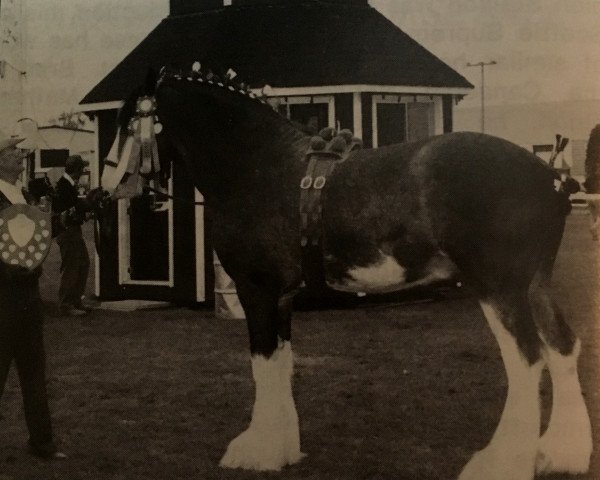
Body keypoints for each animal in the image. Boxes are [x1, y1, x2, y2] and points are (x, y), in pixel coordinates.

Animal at [102, 68, 592, 480]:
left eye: (129, 123)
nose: (106, 187)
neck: (259, 166)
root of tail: (550, 177)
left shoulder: (256, 291)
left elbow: (263, 364)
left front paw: (256, 450)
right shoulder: (282, 296)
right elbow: (283, 363)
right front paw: (284, 448)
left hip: (498, 288)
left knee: (527, 361)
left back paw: (500, 463)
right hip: (534, 284)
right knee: (563, 348)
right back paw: (561, 454)